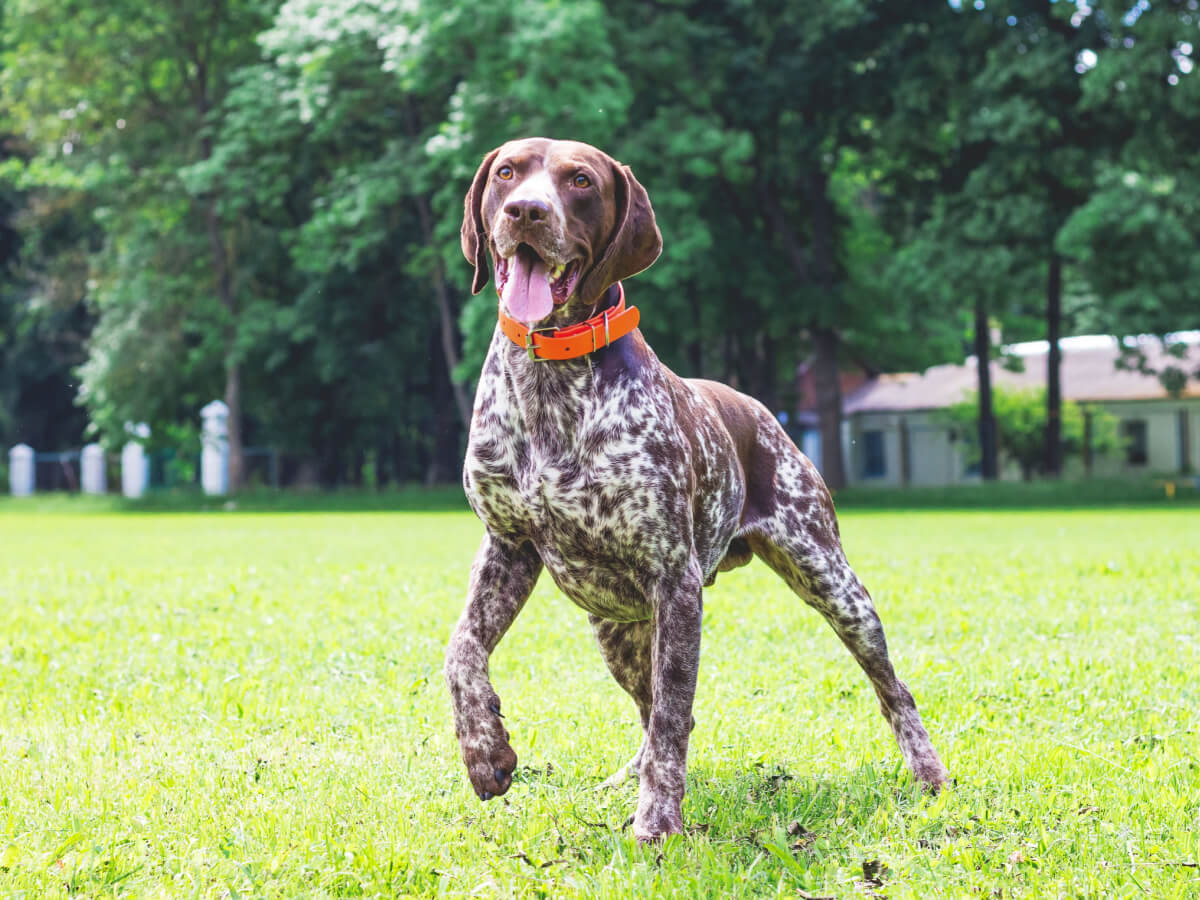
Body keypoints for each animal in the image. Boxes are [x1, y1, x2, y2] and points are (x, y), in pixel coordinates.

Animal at [444, 137, 945, 844]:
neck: (551, 376)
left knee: (891, 690)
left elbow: (674, 715)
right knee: (647, 708)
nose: (526, 211)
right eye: (509, 172)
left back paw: (928, 772)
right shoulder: (507, 547)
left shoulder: (674, 578)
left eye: (579, 181)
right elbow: (460, 651)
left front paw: (657, 823)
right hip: (617, 630)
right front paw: (484, 750)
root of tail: (758, 409)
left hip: (834, 585)